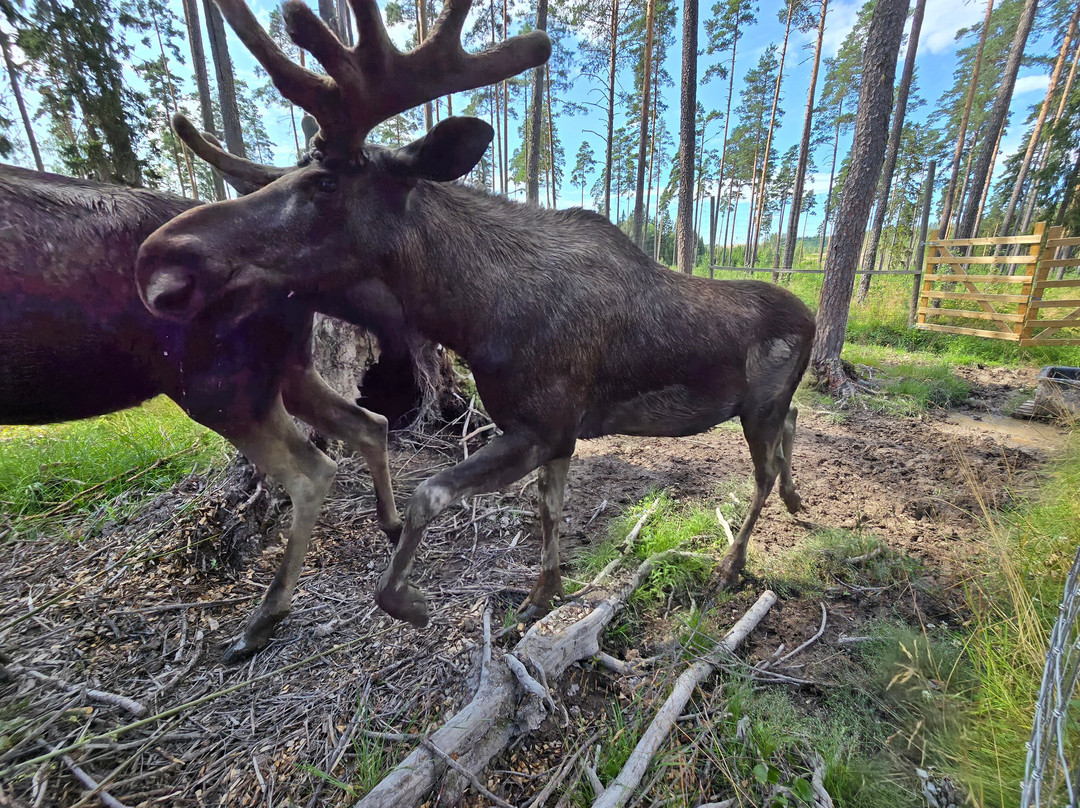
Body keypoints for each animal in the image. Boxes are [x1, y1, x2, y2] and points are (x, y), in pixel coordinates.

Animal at [0, 157, 418, 664]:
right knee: (370, 423)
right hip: (287, 367)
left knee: (313, 469)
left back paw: (263, 618)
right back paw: (391, 525)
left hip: (217, 385)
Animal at [135, 0, 815, 630]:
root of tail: (811, 318)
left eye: (326, 183)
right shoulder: (553, 432)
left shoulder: (542, 426)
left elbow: (429, 495)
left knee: (761, 470)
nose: (160, 256)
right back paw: (794, 497)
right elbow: (548, 511)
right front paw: (542, 594)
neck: (476, 316)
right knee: (792, 426)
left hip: (757, 405)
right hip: (765, 403)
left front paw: (410, 600)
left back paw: (732, 562)